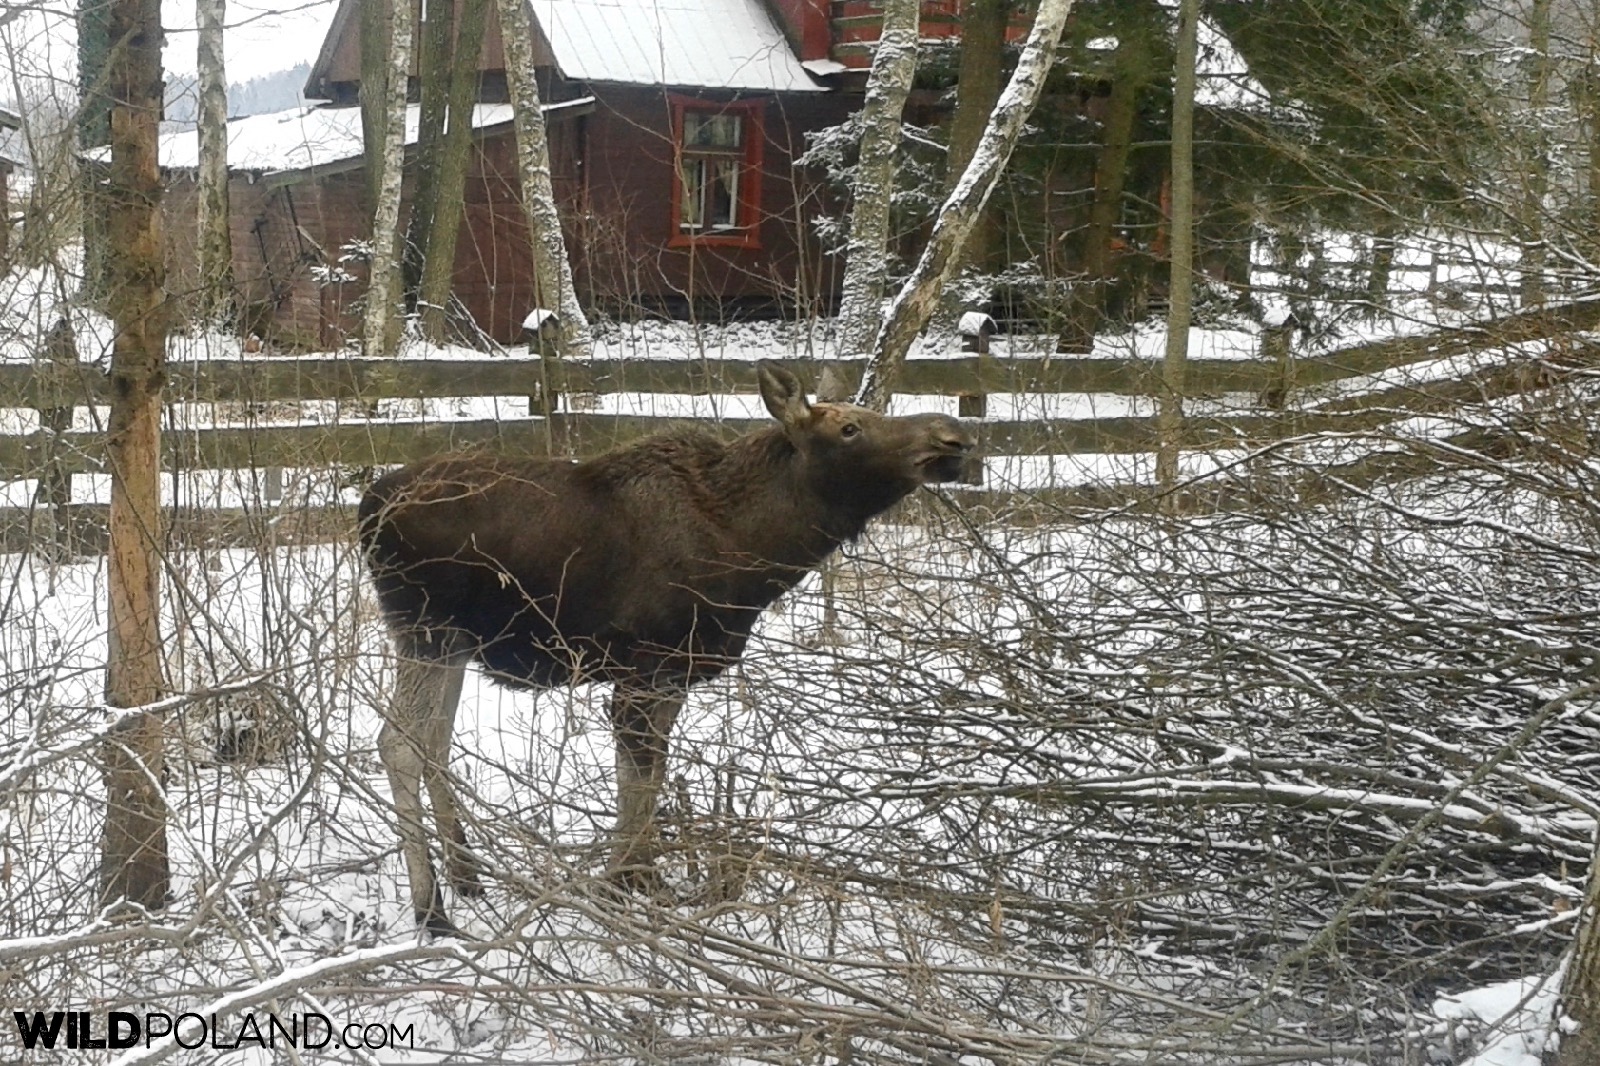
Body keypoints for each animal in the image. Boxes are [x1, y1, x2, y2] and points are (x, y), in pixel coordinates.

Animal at [361, 358, 972, 928]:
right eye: (849, 428)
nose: (954, 436)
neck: (754, 552)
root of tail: (367, 508)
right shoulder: (640, 669)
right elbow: (636, 780)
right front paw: (619, 884)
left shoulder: (674, 673)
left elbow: (652, 777)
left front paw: (643, 879)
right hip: (425, 629)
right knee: (398, 745)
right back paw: (431, 907)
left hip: (456, 643)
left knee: (435, 740)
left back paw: (466, 874)